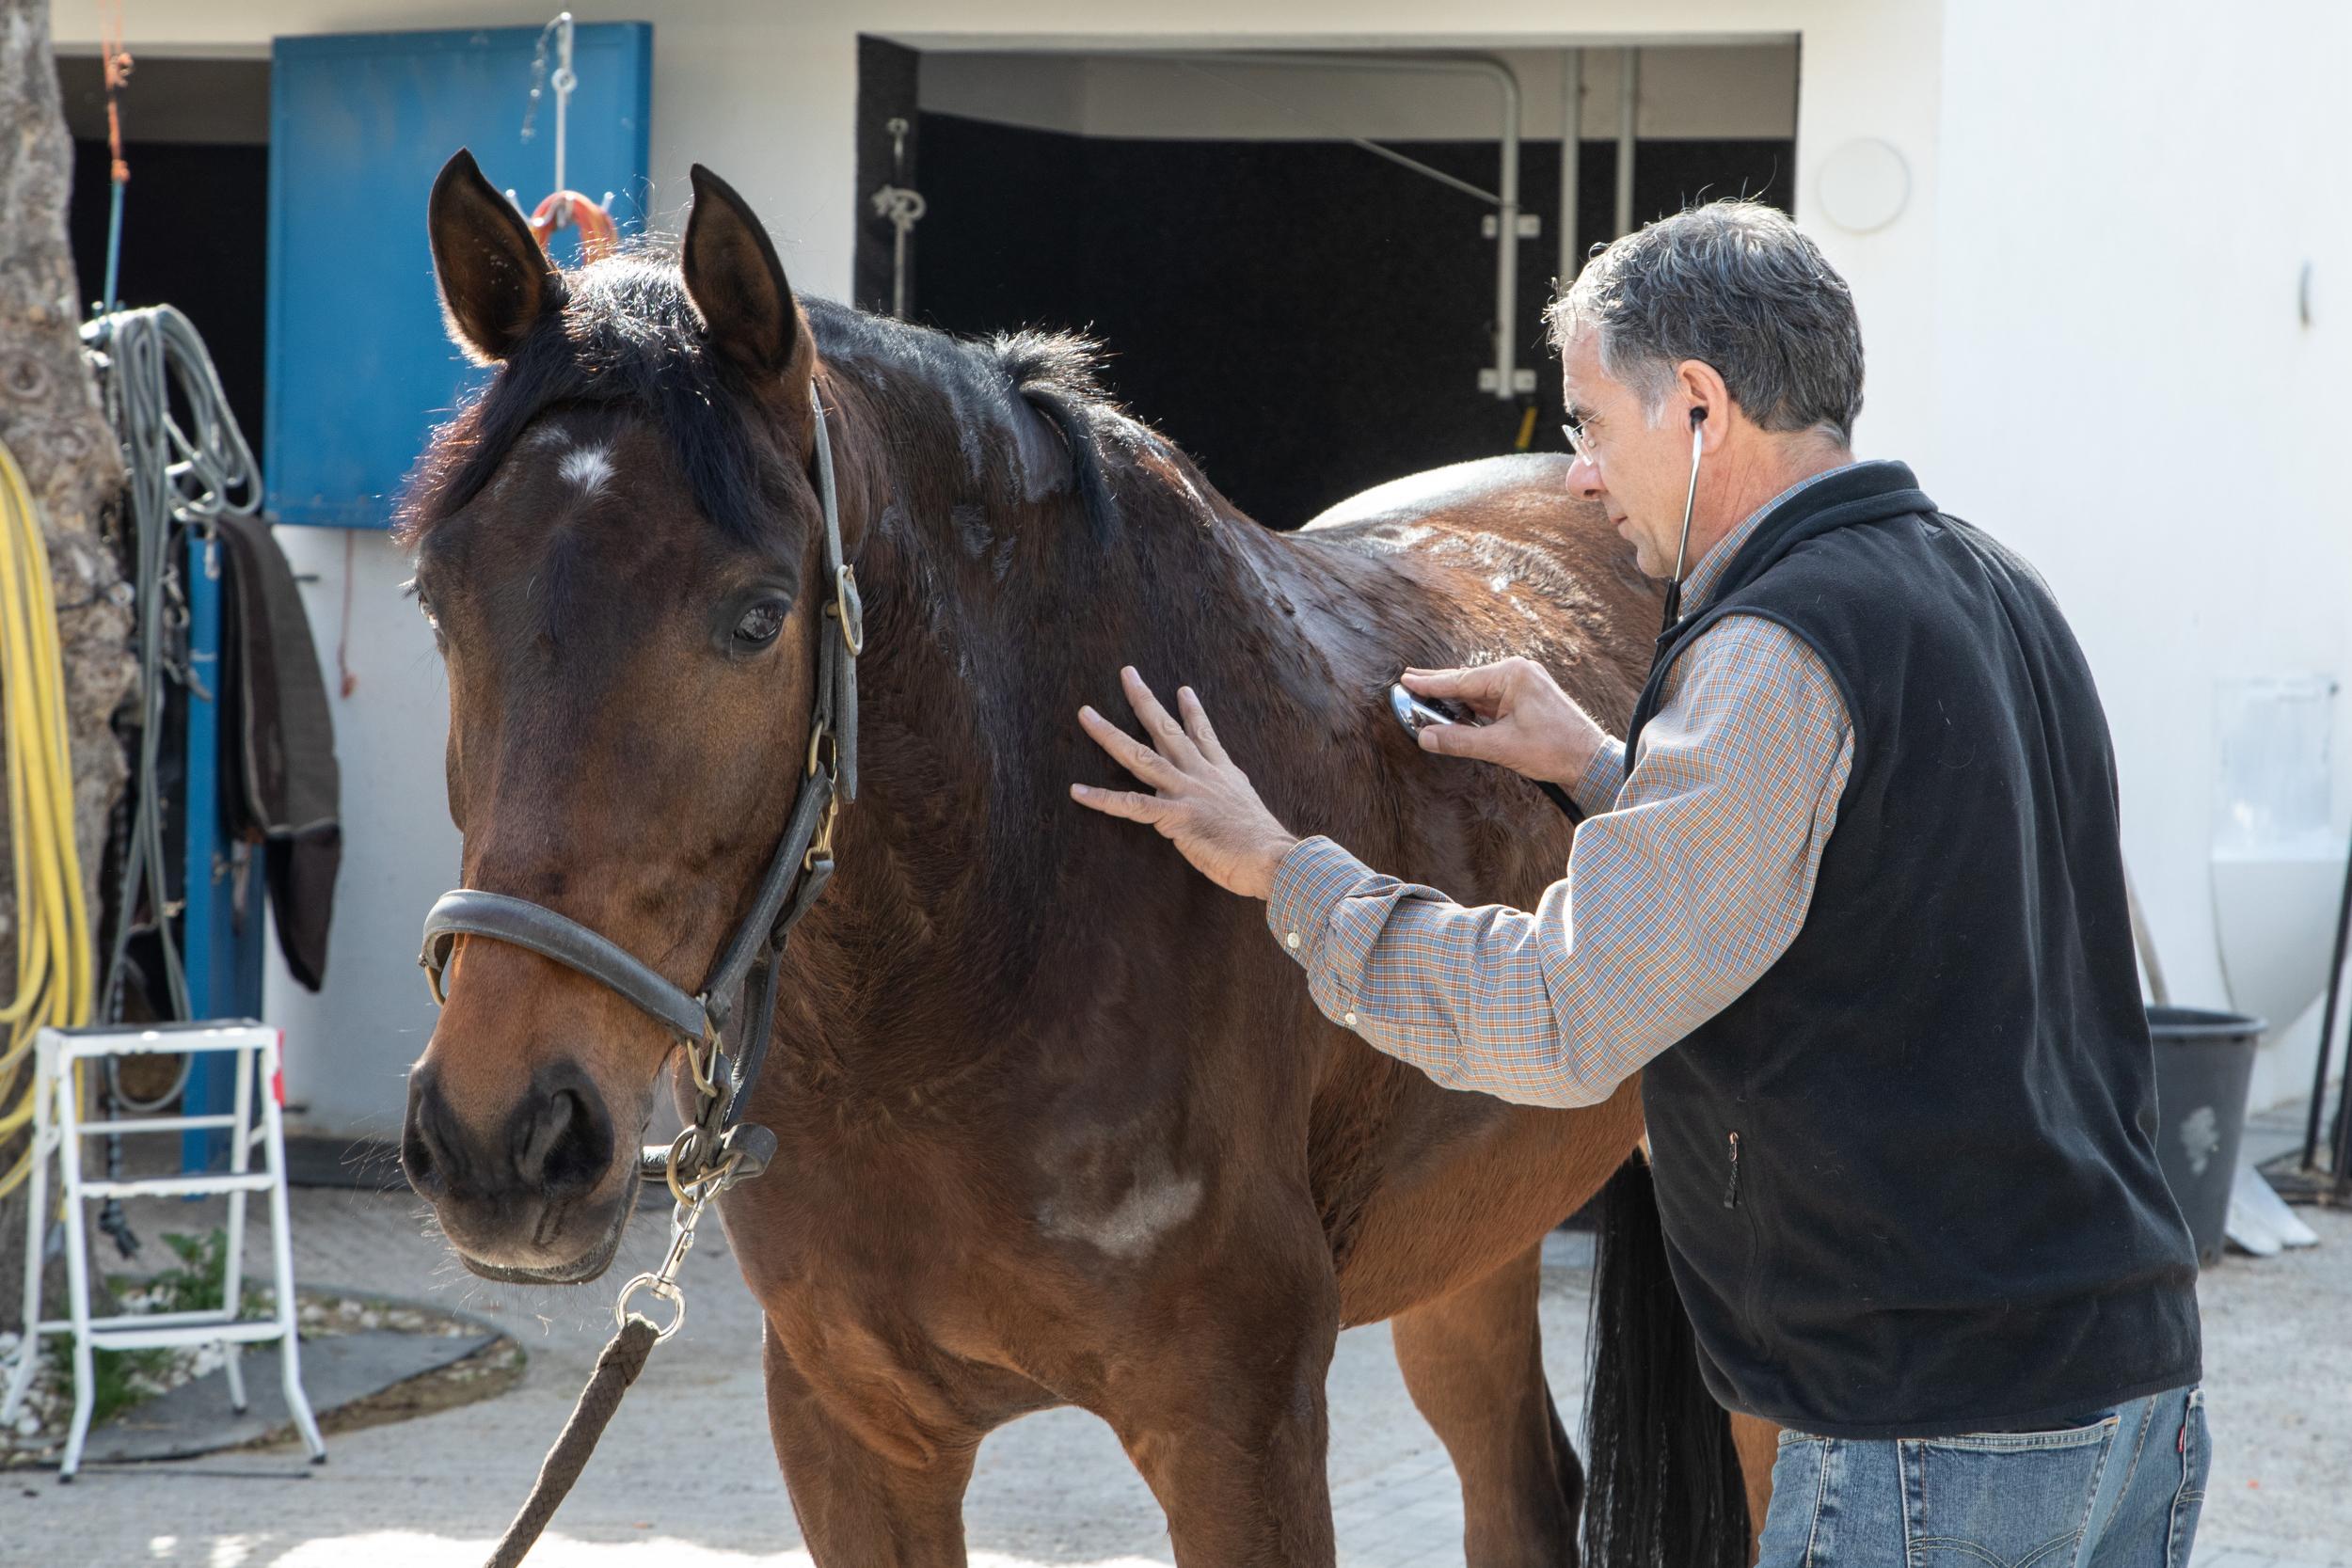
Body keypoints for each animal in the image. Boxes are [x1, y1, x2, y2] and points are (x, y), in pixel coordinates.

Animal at [405, 150, 1759, 1568]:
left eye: (758, 617)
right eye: (438, 601)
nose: (501, 1137)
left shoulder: (1238, 1426)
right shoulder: (852, 1428)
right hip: (1468, 1244)